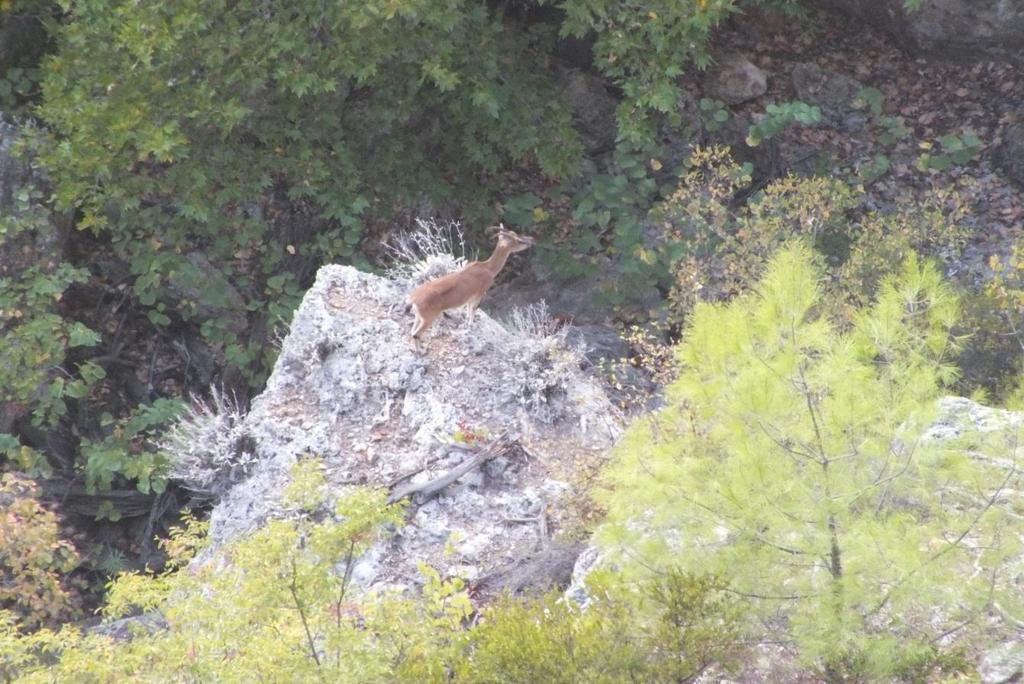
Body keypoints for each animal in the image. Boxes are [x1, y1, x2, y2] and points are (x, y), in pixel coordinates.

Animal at [407, 225, 536, 348]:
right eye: (518, 240)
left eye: (515, 233)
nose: (531, 240)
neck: (488, 268)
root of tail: (413, 299)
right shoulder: (480, 293)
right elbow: (473, 309)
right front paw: (471, 325)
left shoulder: (470, 297)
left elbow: (468, 309)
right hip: (428, 317)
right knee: (416, 334)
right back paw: (421, 350)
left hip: (419, 317)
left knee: (412, 332)